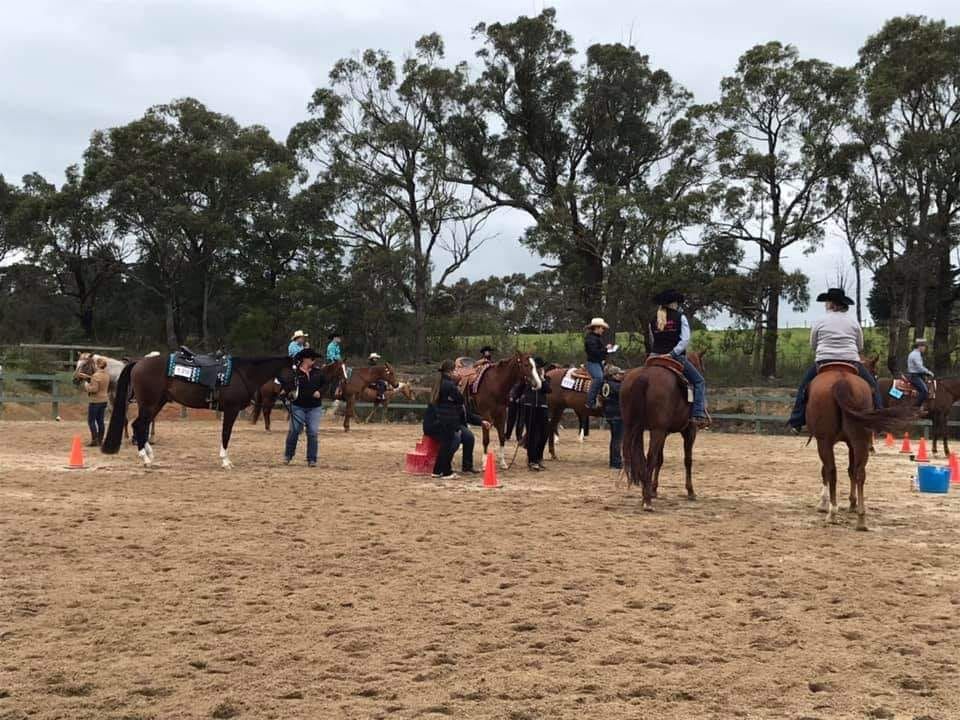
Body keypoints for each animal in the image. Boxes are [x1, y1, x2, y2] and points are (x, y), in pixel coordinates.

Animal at [100, 352, 296, 466]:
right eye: (294, 372)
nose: (294, 394)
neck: (242, 373)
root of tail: (138, 363)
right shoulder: (231, 410)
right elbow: (226, 434)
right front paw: (226, 460)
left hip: (156, 403)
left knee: (141, 425)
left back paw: (149, 454)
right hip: (148, 403)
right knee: (139, 425)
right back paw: (145, 458)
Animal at [620, 352, 708, 512]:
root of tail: (644, 376)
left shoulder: (664, 432)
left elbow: (660, 460)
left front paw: (654, 489)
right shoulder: (689, 431)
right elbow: (688, 460)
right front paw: (691, 491)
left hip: (633, 427)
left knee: (637, 456)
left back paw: (645, 493)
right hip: (657, 430)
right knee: (650, 458)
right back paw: (647, 501)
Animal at [808, 366, 912, 528]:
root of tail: (842, 380)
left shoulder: (824, 441)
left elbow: (825, 470)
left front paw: (822, 503)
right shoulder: (851, 444)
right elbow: (851, 471)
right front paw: (852, 504)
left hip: (825, 441)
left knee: (832, 471)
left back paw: (832, 513)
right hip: (859, 440)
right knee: (860, 473)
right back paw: (861, 518)